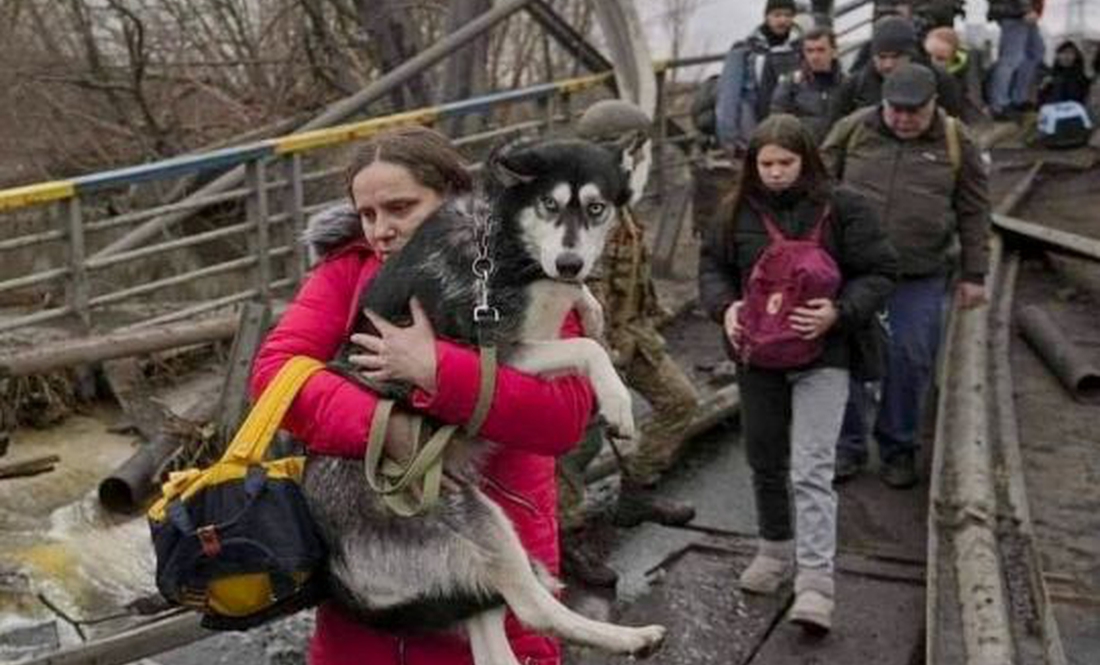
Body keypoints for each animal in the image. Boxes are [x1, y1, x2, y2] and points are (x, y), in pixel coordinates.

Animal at [297, 137, 664, 659]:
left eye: (597, 209)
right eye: (549, 204)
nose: (569, 263)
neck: (502, 238)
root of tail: (337, 570)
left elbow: (581, 316)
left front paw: (591, 307)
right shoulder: (500, 352)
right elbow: (585, 349)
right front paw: (616, 402)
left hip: (465, 573)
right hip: (474, 518)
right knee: (533, 609)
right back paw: (628, 637)